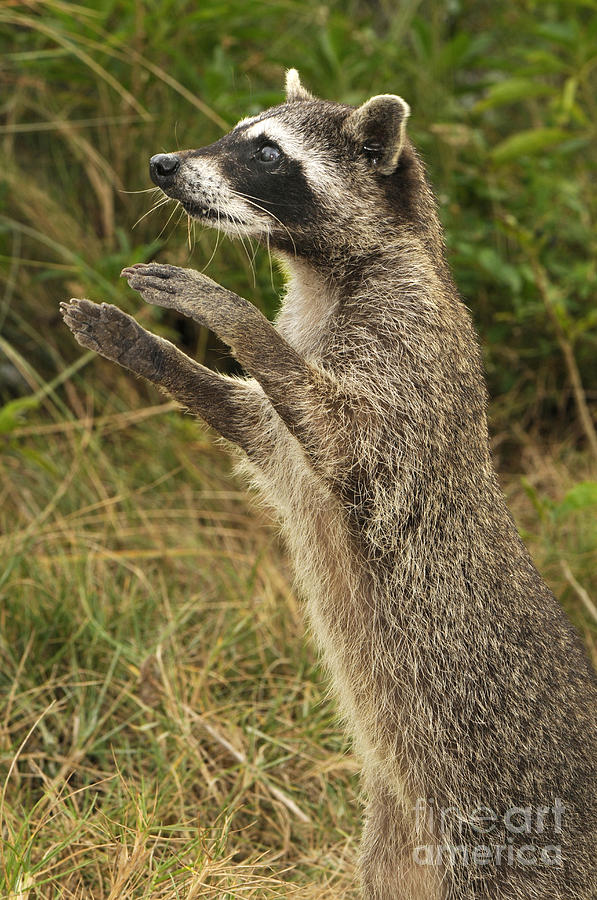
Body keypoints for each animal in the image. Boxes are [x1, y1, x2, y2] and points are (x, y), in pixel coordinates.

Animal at [62, 72, 592, 900]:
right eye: (234, 131)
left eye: (266, 153)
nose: (162, 164)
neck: (321, 274)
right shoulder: (290, 423)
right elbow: (258, 424)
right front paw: (145, 347)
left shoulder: (408, 353)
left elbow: (345, 438)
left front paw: (227, 311)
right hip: (391, 845)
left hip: (508, 846)